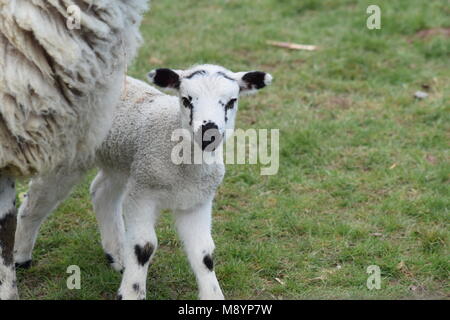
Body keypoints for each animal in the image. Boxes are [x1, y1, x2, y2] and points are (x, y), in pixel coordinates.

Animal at [15, 63, 272, 298]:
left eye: (231, 101)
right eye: (186, 100)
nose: (209, 133)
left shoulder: (196, 201)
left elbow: (205, 254)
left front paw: (213, 295)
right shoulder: (143, 193)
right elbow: (144, 248)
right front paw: (131, 292)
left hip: (122, 161)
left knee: (102, 193)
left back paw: (117, 256)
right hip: (70, 155)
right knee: (35, 202)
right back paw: (20, 257)